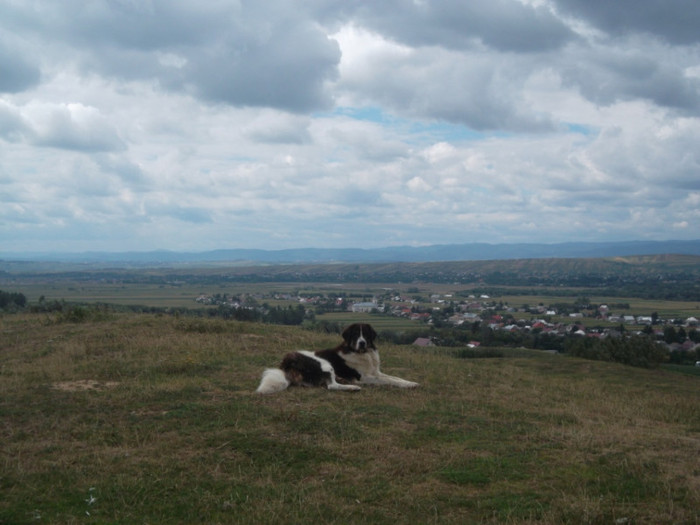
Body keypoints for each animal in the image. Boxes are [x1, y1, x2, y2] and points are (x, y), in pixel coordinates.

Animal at [260, 324, 418, 392]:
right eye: (355, 335)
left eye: (366, 335)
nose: (362, 342)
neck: (363, 353)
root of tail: (287, 362)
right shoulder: (364, 377)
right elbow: (388, 380)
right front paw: (406, 385)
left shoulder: (375, 372)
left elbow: (395, 377)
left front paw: (410, 383)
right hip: (325, 363)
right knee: (331, 386)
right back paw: (353, 387)